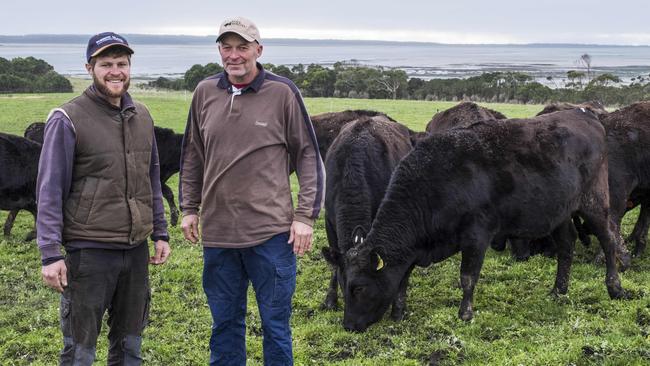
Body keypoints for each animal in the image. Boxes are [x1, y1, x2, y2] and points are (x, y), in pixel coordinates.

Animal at [320, 116, 416, 320]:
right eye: (345, 285)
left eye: (361, 288)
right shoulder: (329, 221)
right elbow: (334, 262)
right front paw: (330, 299)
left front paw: (398, 307)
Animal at [342, 108, 624, 332]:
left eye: (358, 288)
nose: (347, 325)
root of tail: (583, 114)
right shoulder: (413, 249)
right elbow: (402, 280)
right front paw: (399, 313)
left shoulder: (477, 235)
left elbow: (467, 276)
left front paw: (465, 313)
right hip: (560, 212)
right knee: (567, 245)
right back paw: (558, 290)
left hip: (594, 203)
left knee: (609, 240)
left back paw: (615, 288)